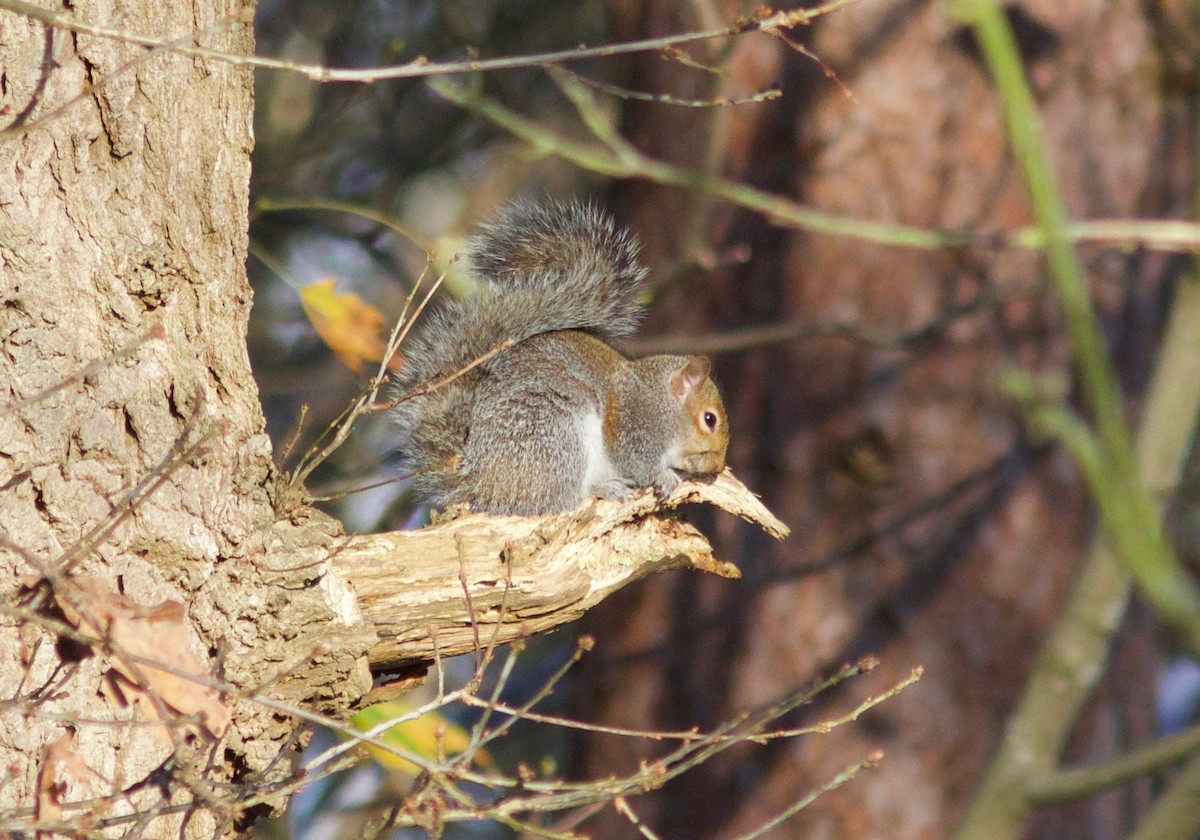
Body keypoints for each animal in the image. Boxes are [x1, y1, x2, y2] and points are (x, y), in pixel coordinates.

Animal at [393, 200, 729, 516]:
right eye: (709, 420)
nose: (717, 468)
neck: (661, 399)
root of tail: (483, 485)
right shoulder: (635, 423)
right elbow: (636, 461)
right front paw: (666, 476)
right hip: (556, 434)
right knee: (560, 501)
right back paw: (603, 488)